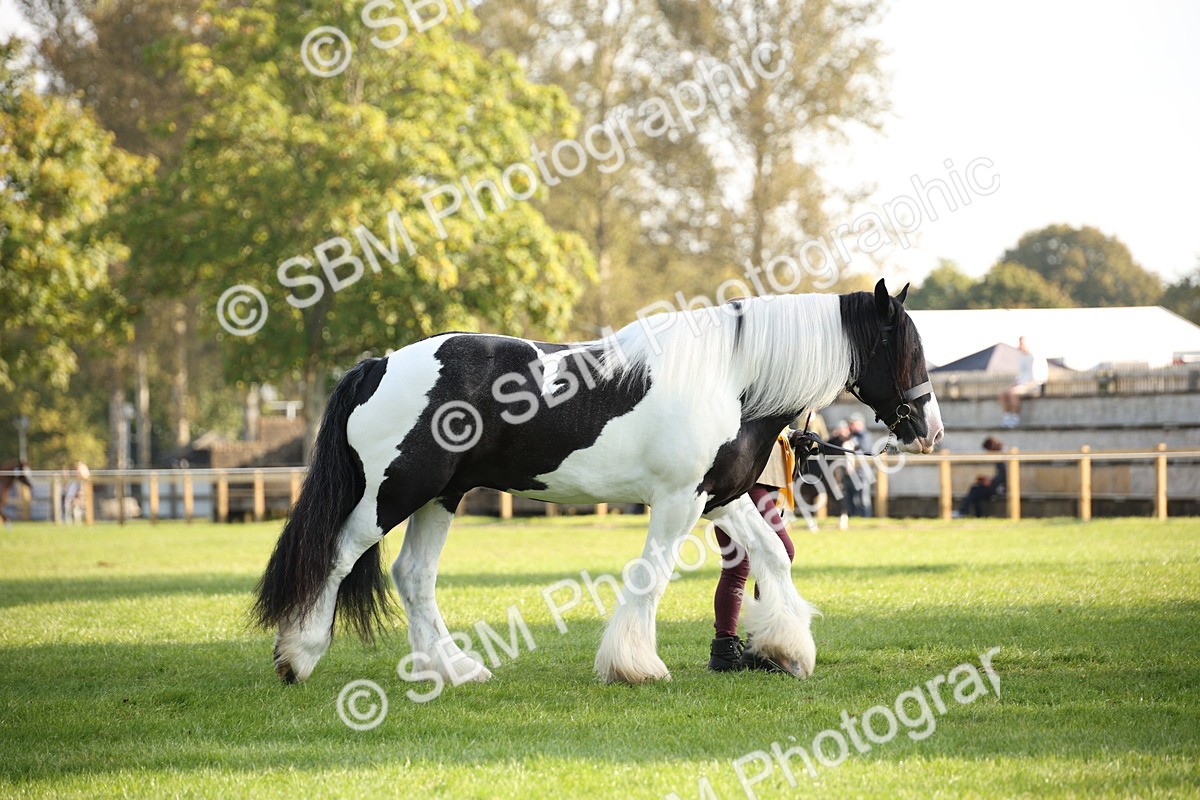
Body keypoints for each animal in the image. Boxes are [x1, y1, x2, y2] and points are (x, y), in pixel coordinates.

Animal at [254, 279, 943, 686]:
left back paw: (454, 670)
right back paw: (298, 657)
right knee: (336, 555)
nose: (930, 427)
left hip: (439, 498)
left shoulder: (716, 499)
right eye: (906, 348)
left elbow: (772, 555)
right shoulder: (678, 502)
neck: (732, 378)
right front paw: (635, 666)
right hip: (393, 493)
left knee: (414, 576)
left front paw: (786, 649)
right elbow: (651, 577)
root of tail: (378, 365)